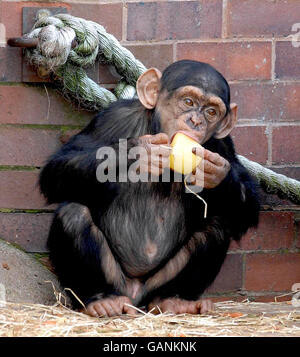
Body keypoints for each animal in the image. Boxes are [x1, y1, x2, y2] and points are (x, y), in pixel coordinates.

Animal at [39, 59, 260, 316]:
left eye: (211, 112)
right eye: (188, 102)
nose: (196, 122)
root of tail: (136, 298)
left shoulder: (222, 144)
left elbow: (247, 210)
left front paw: (215, 173)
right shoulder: (113, 118)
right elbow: (57, 169)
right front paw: (140, 152)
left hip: (156, 285)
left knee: (217, 226)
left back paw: (174, 300)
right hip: (117, 282)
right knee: (73, 215)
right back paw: (100, 300)